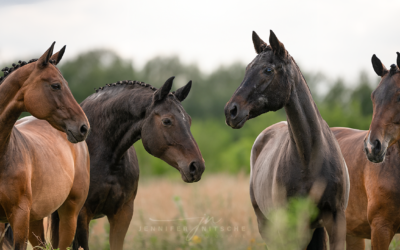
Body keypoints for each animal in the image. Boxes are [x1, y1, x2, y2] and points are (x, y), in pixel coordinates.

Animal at [225, 31, 350, 250]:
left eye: (268, 70)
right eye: (247, 68)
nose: (231, 111)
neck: (310, 157)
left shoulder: (335, 220)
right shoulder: (291, 227)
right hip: (267, 225)